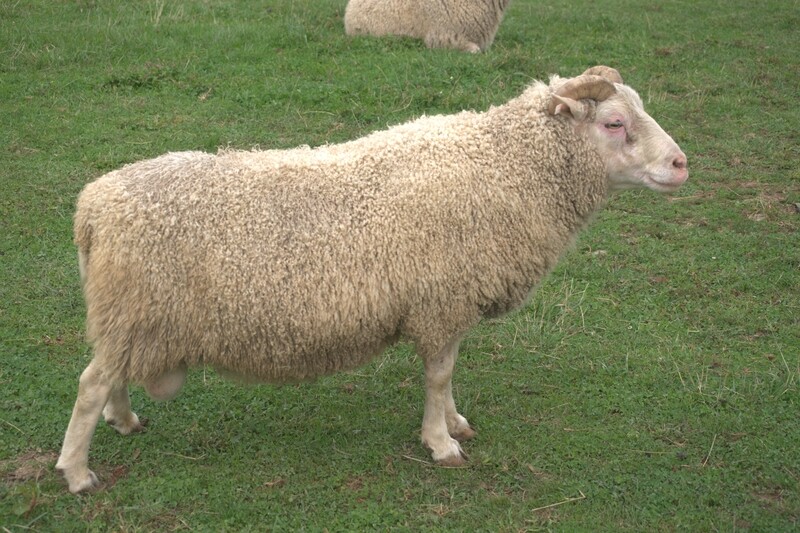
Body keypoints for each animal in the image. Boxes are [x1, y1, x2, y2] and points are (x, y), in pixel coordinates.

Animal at [57, 66, 689, 493]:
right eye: (614, 123)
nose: (682, 164)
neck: (503, 168)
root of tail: (93, 207)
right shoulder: (440, 301)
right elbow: (438, 375)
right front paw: (441, 443)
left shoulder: (450, 303)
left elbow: (448, 372)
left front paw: (455, 423)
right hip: (135, 306)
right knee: (90, 384)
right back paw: (78, 472)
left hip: (129, 317)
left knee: (109, 376)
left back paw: (124, 420)